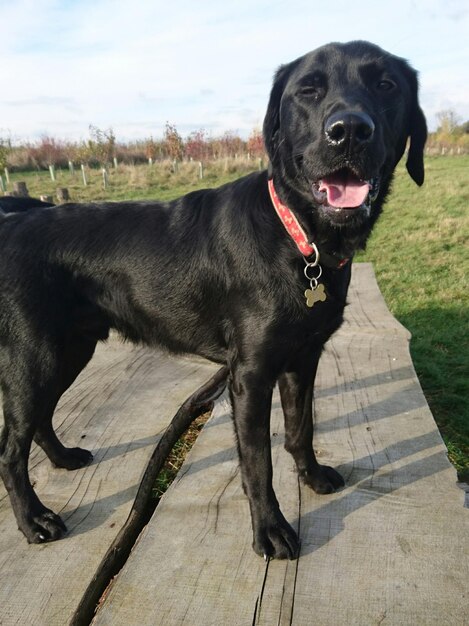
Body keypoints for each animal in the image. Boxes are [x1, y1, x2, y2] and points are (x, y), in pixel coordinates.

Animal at [0, 40, 424, 556]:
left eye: (386, 84)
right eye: (308, 90)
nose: (348, 132)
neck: (298, 237)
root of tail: (11, 222)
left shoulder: (303, 358)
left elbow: (300, 428)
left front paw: (313, 476)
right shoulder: (250, 375)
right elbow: (258, 462)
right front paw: (271, 531)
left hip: (69, 349)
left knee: (39, 420)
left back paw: (63, 459)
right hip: (34, 356)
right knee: (10, 450)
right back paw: (34, 520)